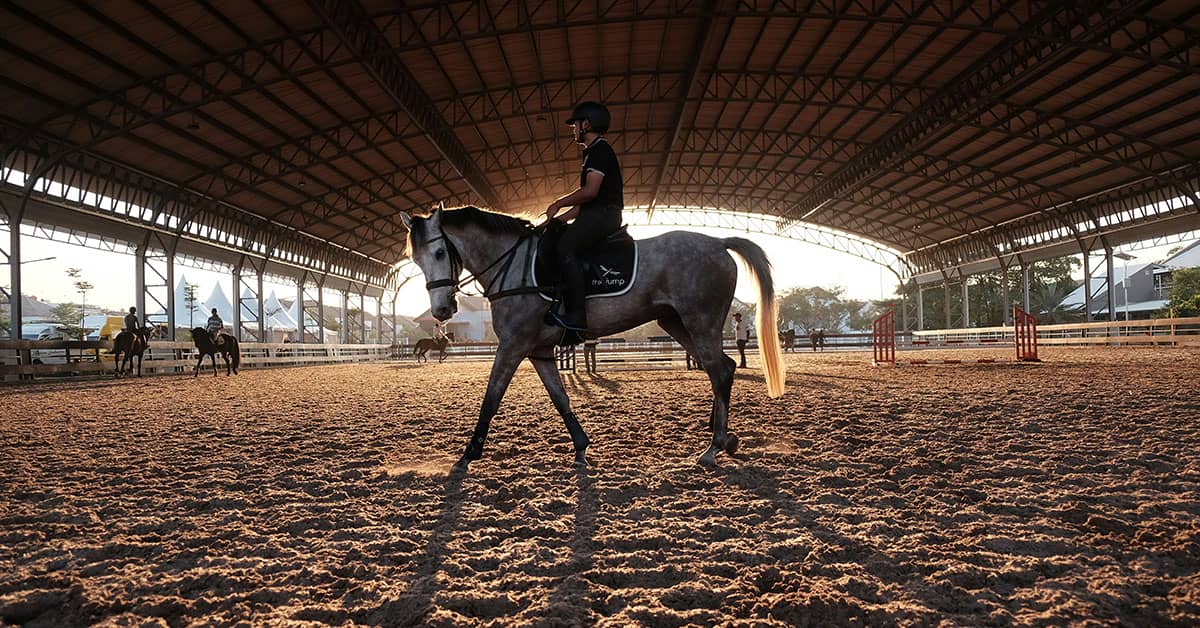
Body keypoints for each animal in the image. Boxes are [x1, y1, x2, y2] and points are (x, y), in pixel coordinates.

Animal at [401, 206, 785, 472]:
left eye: (440, 253)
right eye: (417, 260)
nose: (442, 310)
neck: (514, 267)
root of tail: (719, 242)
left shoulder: (513, 346)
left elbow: (491, 399)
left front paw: (468, 454)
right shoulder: (540, 351)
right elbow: (560, 399)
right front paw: (582, 446)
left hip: (699, 322)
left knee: (718, 371)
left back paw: (713, 446)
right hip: (677, 323)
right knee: (723, 367)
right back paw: (725, 437)